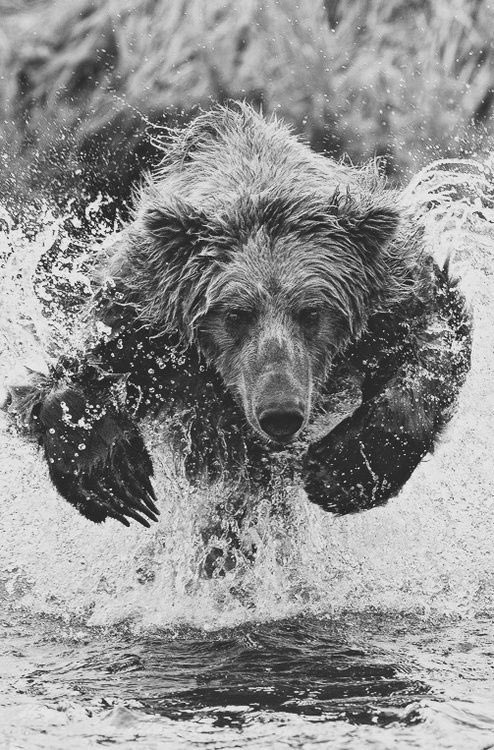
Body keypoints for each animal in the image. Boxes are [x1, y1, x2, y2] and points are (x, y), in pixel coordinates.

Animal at [5, 102, 472, 535]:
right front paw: (113, 475)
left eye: (311, 312)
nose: (280, 412)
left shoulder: (389, 303)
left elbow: (435, 343)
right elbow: (61, 380)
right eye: (235, 314)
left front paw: (345, 469)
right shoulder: (146, 328)